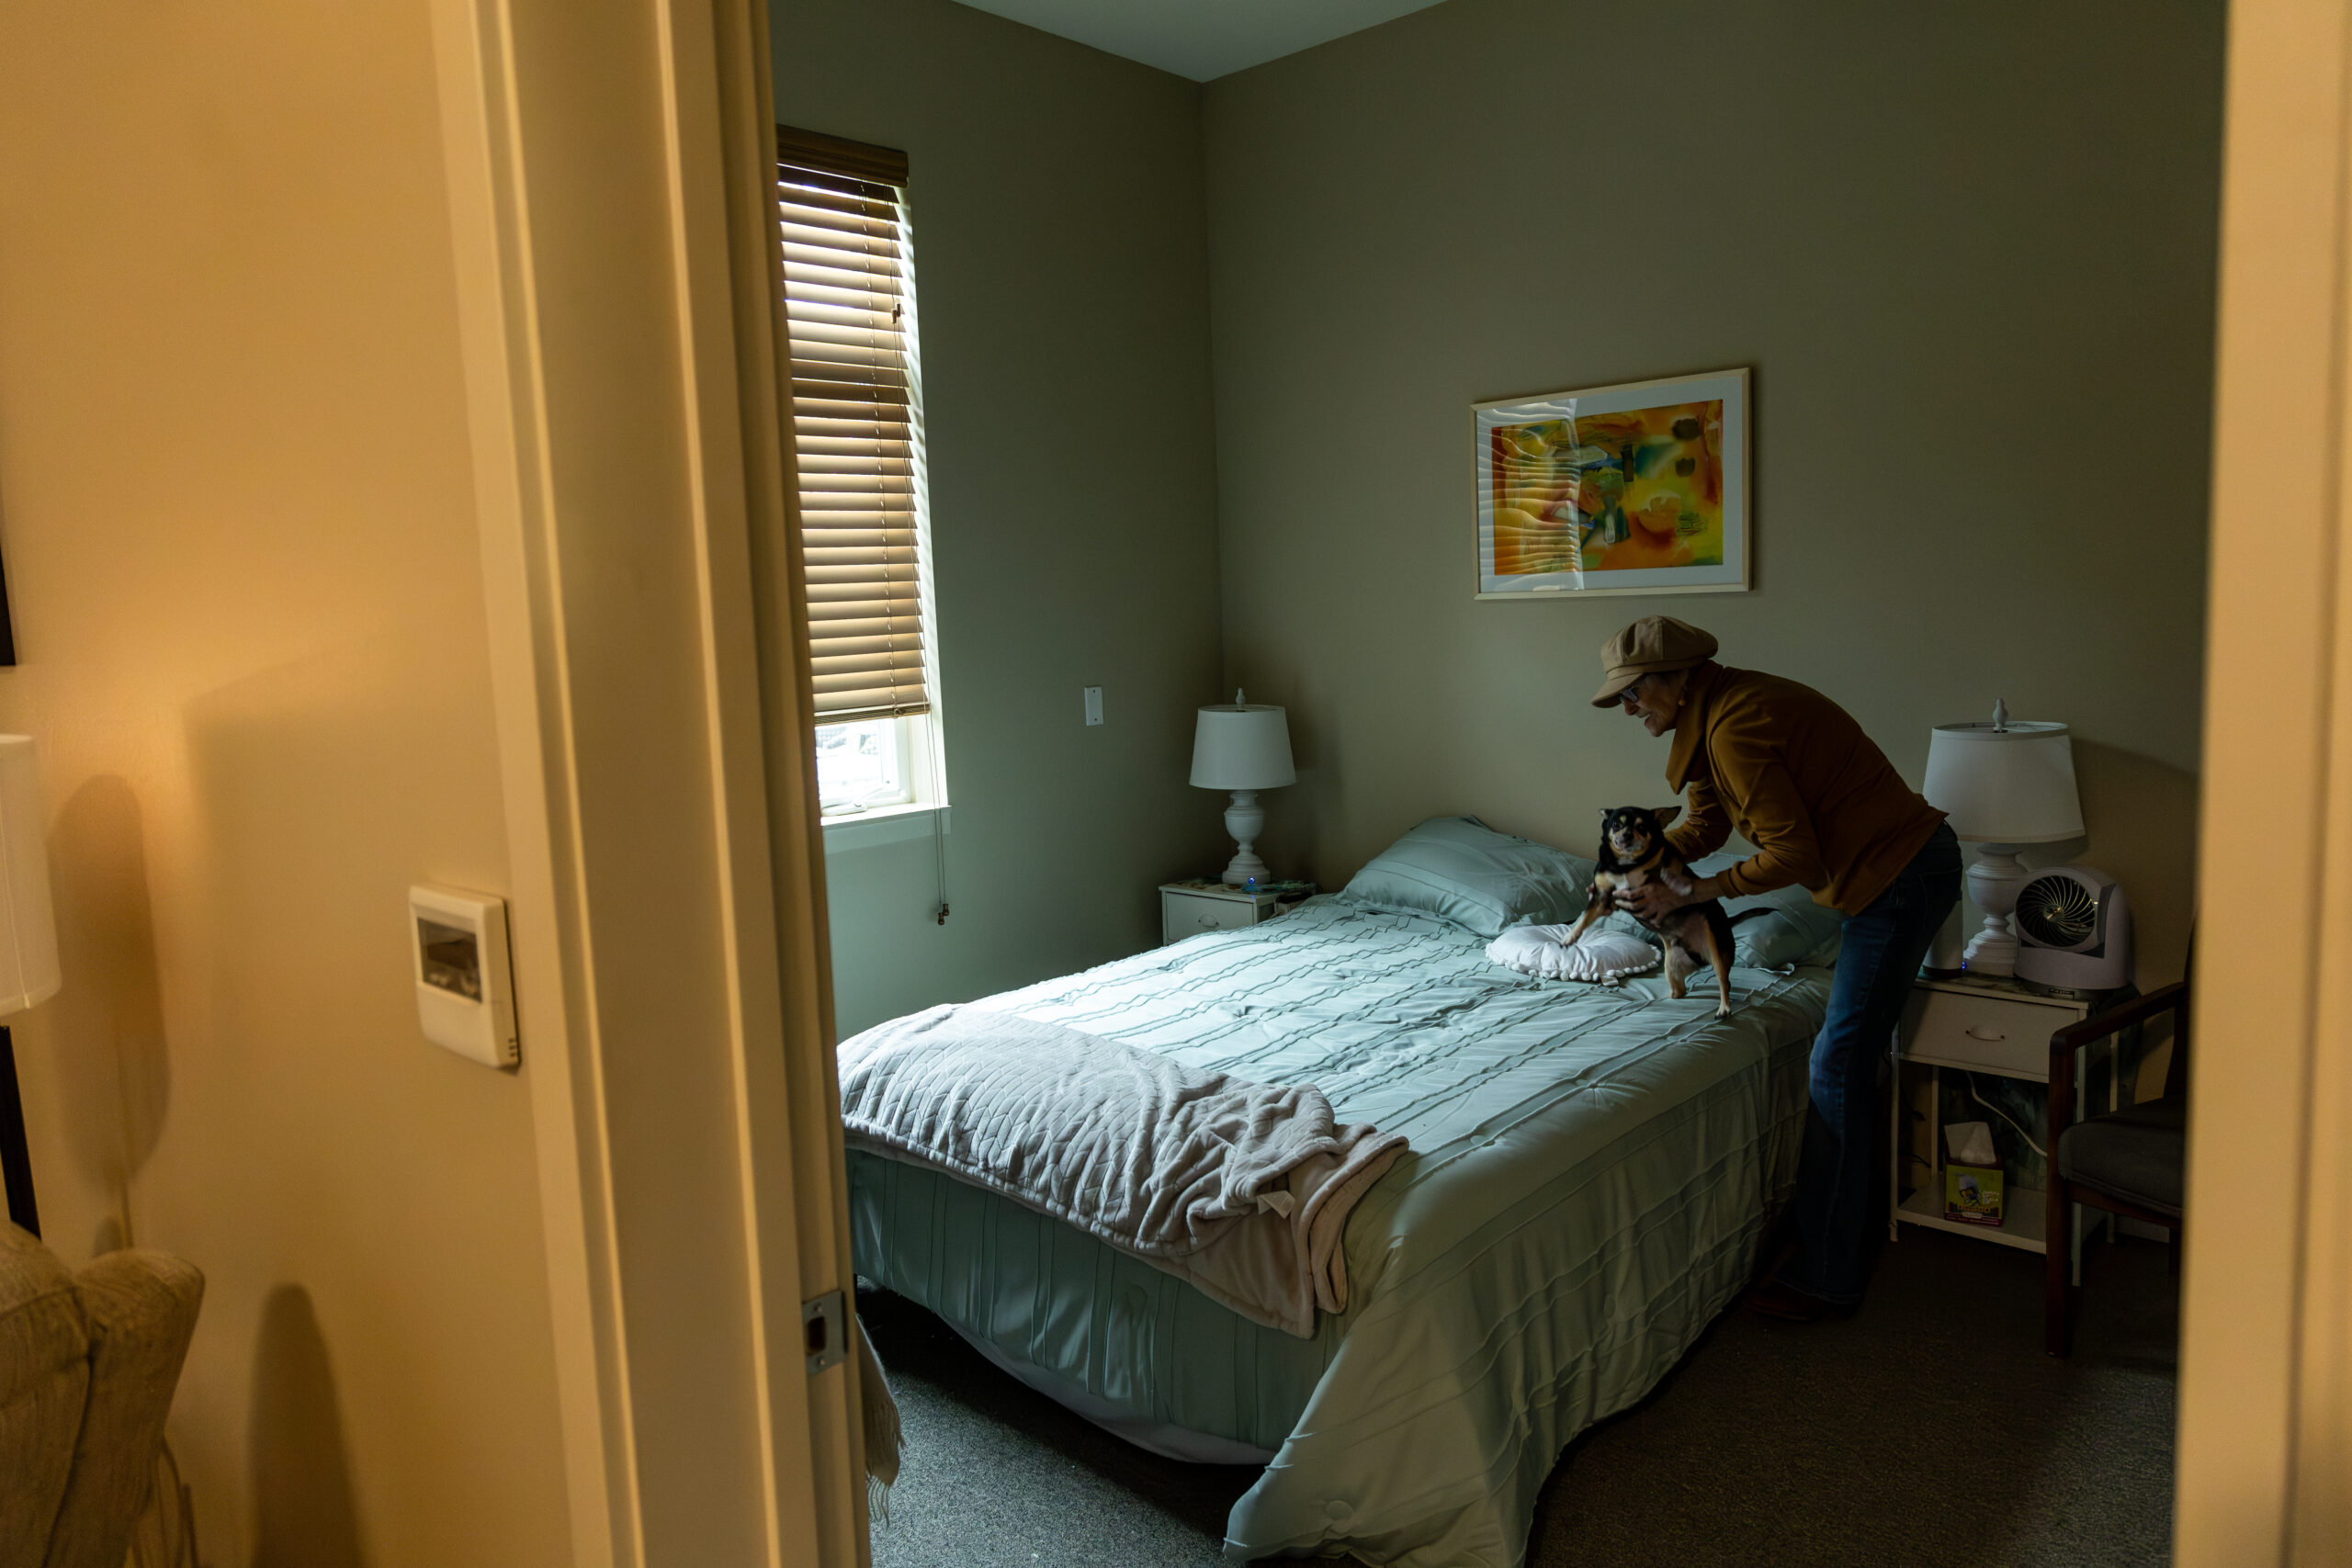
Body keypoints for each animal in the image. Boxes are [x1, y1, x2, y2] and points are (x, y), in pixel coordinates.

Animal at [1561, 808, 1749, 1020]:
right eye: (1617, 824)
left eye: (1642, 827)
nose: (1627, 834)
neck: (1626, 865)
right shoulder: (1602, 898)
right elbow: (1586, 917)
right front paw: (1570, 936)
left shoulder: (1666, 862)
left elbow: (1670, 868)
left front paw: (1680, 885)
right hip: (1671, 967)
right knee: (1680, 991)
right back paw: (1664, 1000)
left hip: (1716, 945)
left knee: (1724, 980)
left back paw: (1723, 1008)